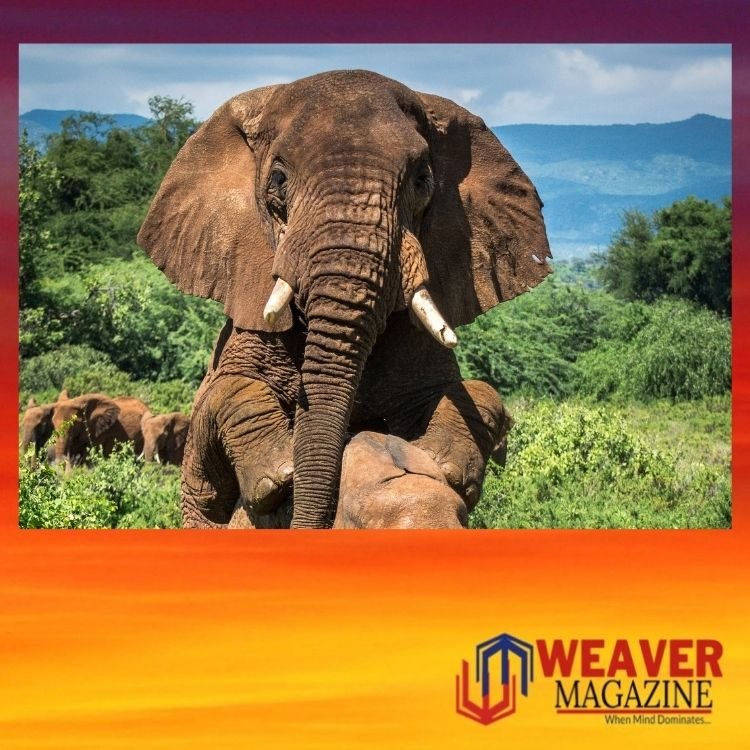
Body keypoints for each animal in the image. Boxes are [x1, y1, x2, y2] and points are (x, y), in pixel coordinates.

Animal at [138, 69, 551, 529]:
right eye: (278, 180)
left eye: (422, 180)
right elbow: (221, 392)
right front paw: (279, 475)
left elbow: (464, 391)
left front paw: (445, 464)